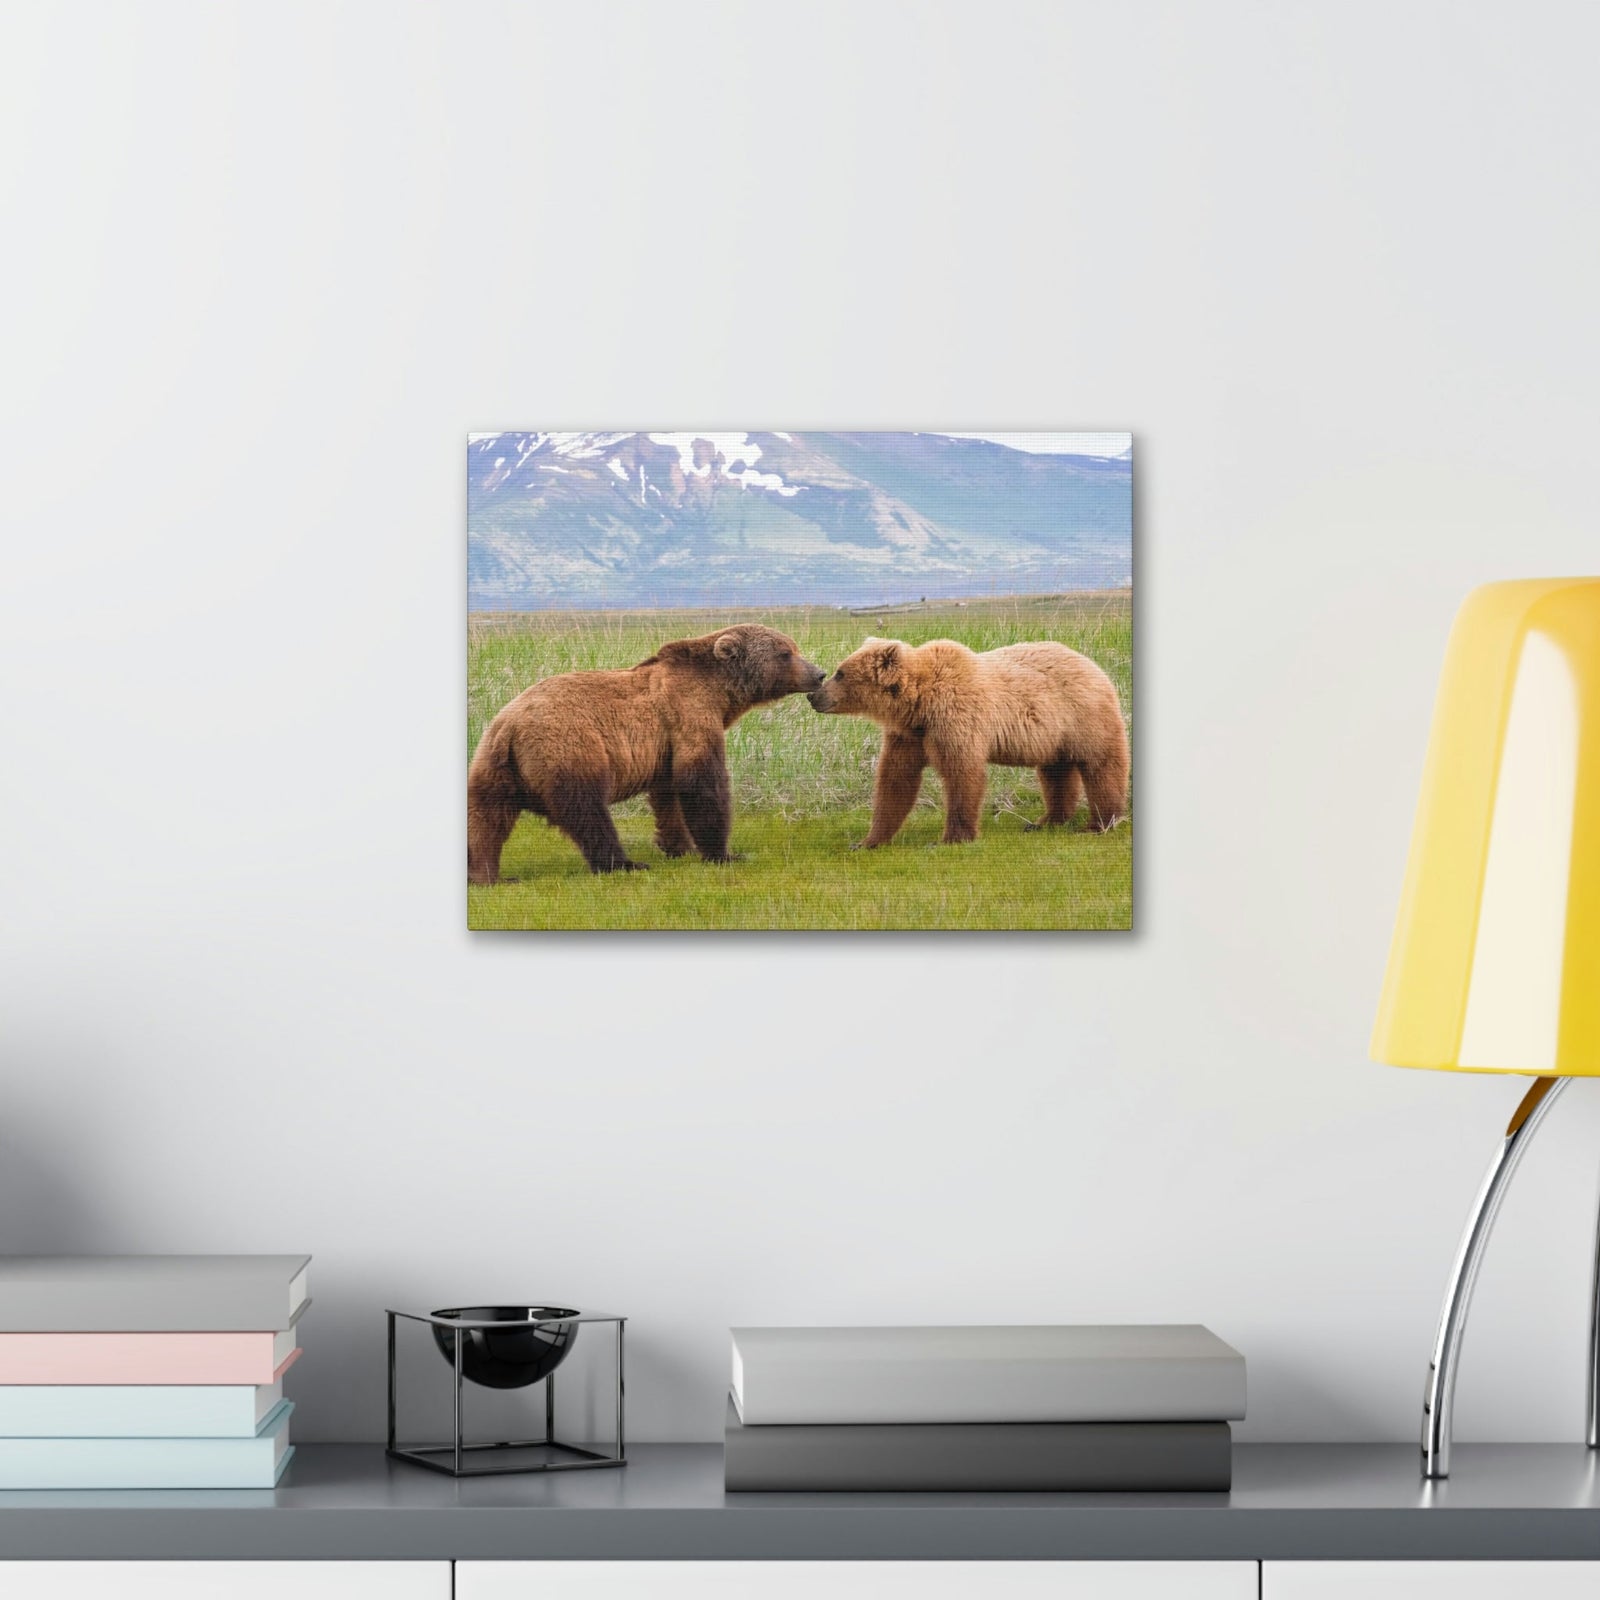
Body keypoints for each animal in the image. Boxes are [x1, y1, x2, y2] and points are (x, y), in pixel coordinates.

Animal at [467, 623, 825, 883]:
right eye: (785, 652)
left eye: (793, 647)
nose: (818, 673)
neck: (720, 693)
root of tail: (509, 727)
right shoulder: (689, 714)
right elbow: (702, 783)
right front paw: (724, 853)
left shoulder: (664, 746)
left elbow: (668, 795)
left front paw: (678, 845)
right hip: (567, 750)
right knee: (588, 811)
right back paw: (624, 863)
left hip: (492, 767)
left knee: (485, 820)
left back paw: (485, 874)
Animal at [808, 636, 1129, 847]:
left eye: (840, 673)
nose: (814, 695)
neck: (920, 702)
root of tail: (1096, 667)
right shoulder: (910, 734)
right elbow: (896, 780)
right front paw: (869, 840)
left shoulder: (955, 720)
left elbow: (962, 774)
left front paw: (952, 837)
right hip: (1053, 735)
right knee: (1056, 773)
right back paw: (1046, 821)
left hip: (1083, 717)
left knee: (1101, 766)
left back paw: (1100, 823)